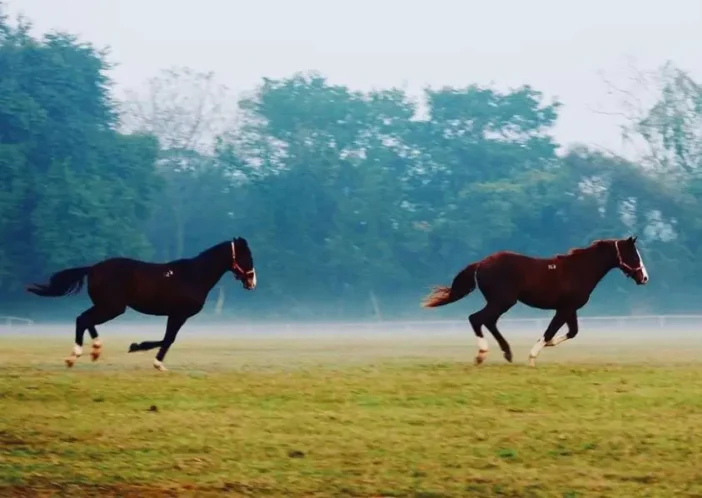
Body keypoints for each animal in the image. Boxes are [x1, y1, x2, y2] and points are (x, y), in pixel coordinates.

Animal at [28, 236, 258, 370]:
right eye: (247, 256)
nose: (252, 282)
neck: (194, 276)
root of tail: (92, 268)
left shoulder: (174, 315)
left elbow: (167, 338)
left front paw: (138, 347)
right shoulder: (179, 314)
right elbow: (168, 339)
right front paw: (153, 359)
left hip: (109, 307)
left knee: (86, 320)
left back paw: (94, 350)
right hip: (112, 307)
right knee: (83, 319)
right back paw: (74, 356)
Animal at [424, 235, 648, 368]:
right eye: (633, 255)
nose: (644, 278)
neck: (579, 270)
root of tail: (480, 264)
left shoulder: (570, 309)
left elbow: (572, 332)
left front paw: (547, 345)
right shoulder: (564, 309)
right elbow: (551, 331)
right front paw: (532, 357)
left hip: (501, 302)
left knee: (488, 321)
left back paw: (507, 353)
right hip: (503, 301)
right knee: (477, 319)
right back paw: (482, 355)